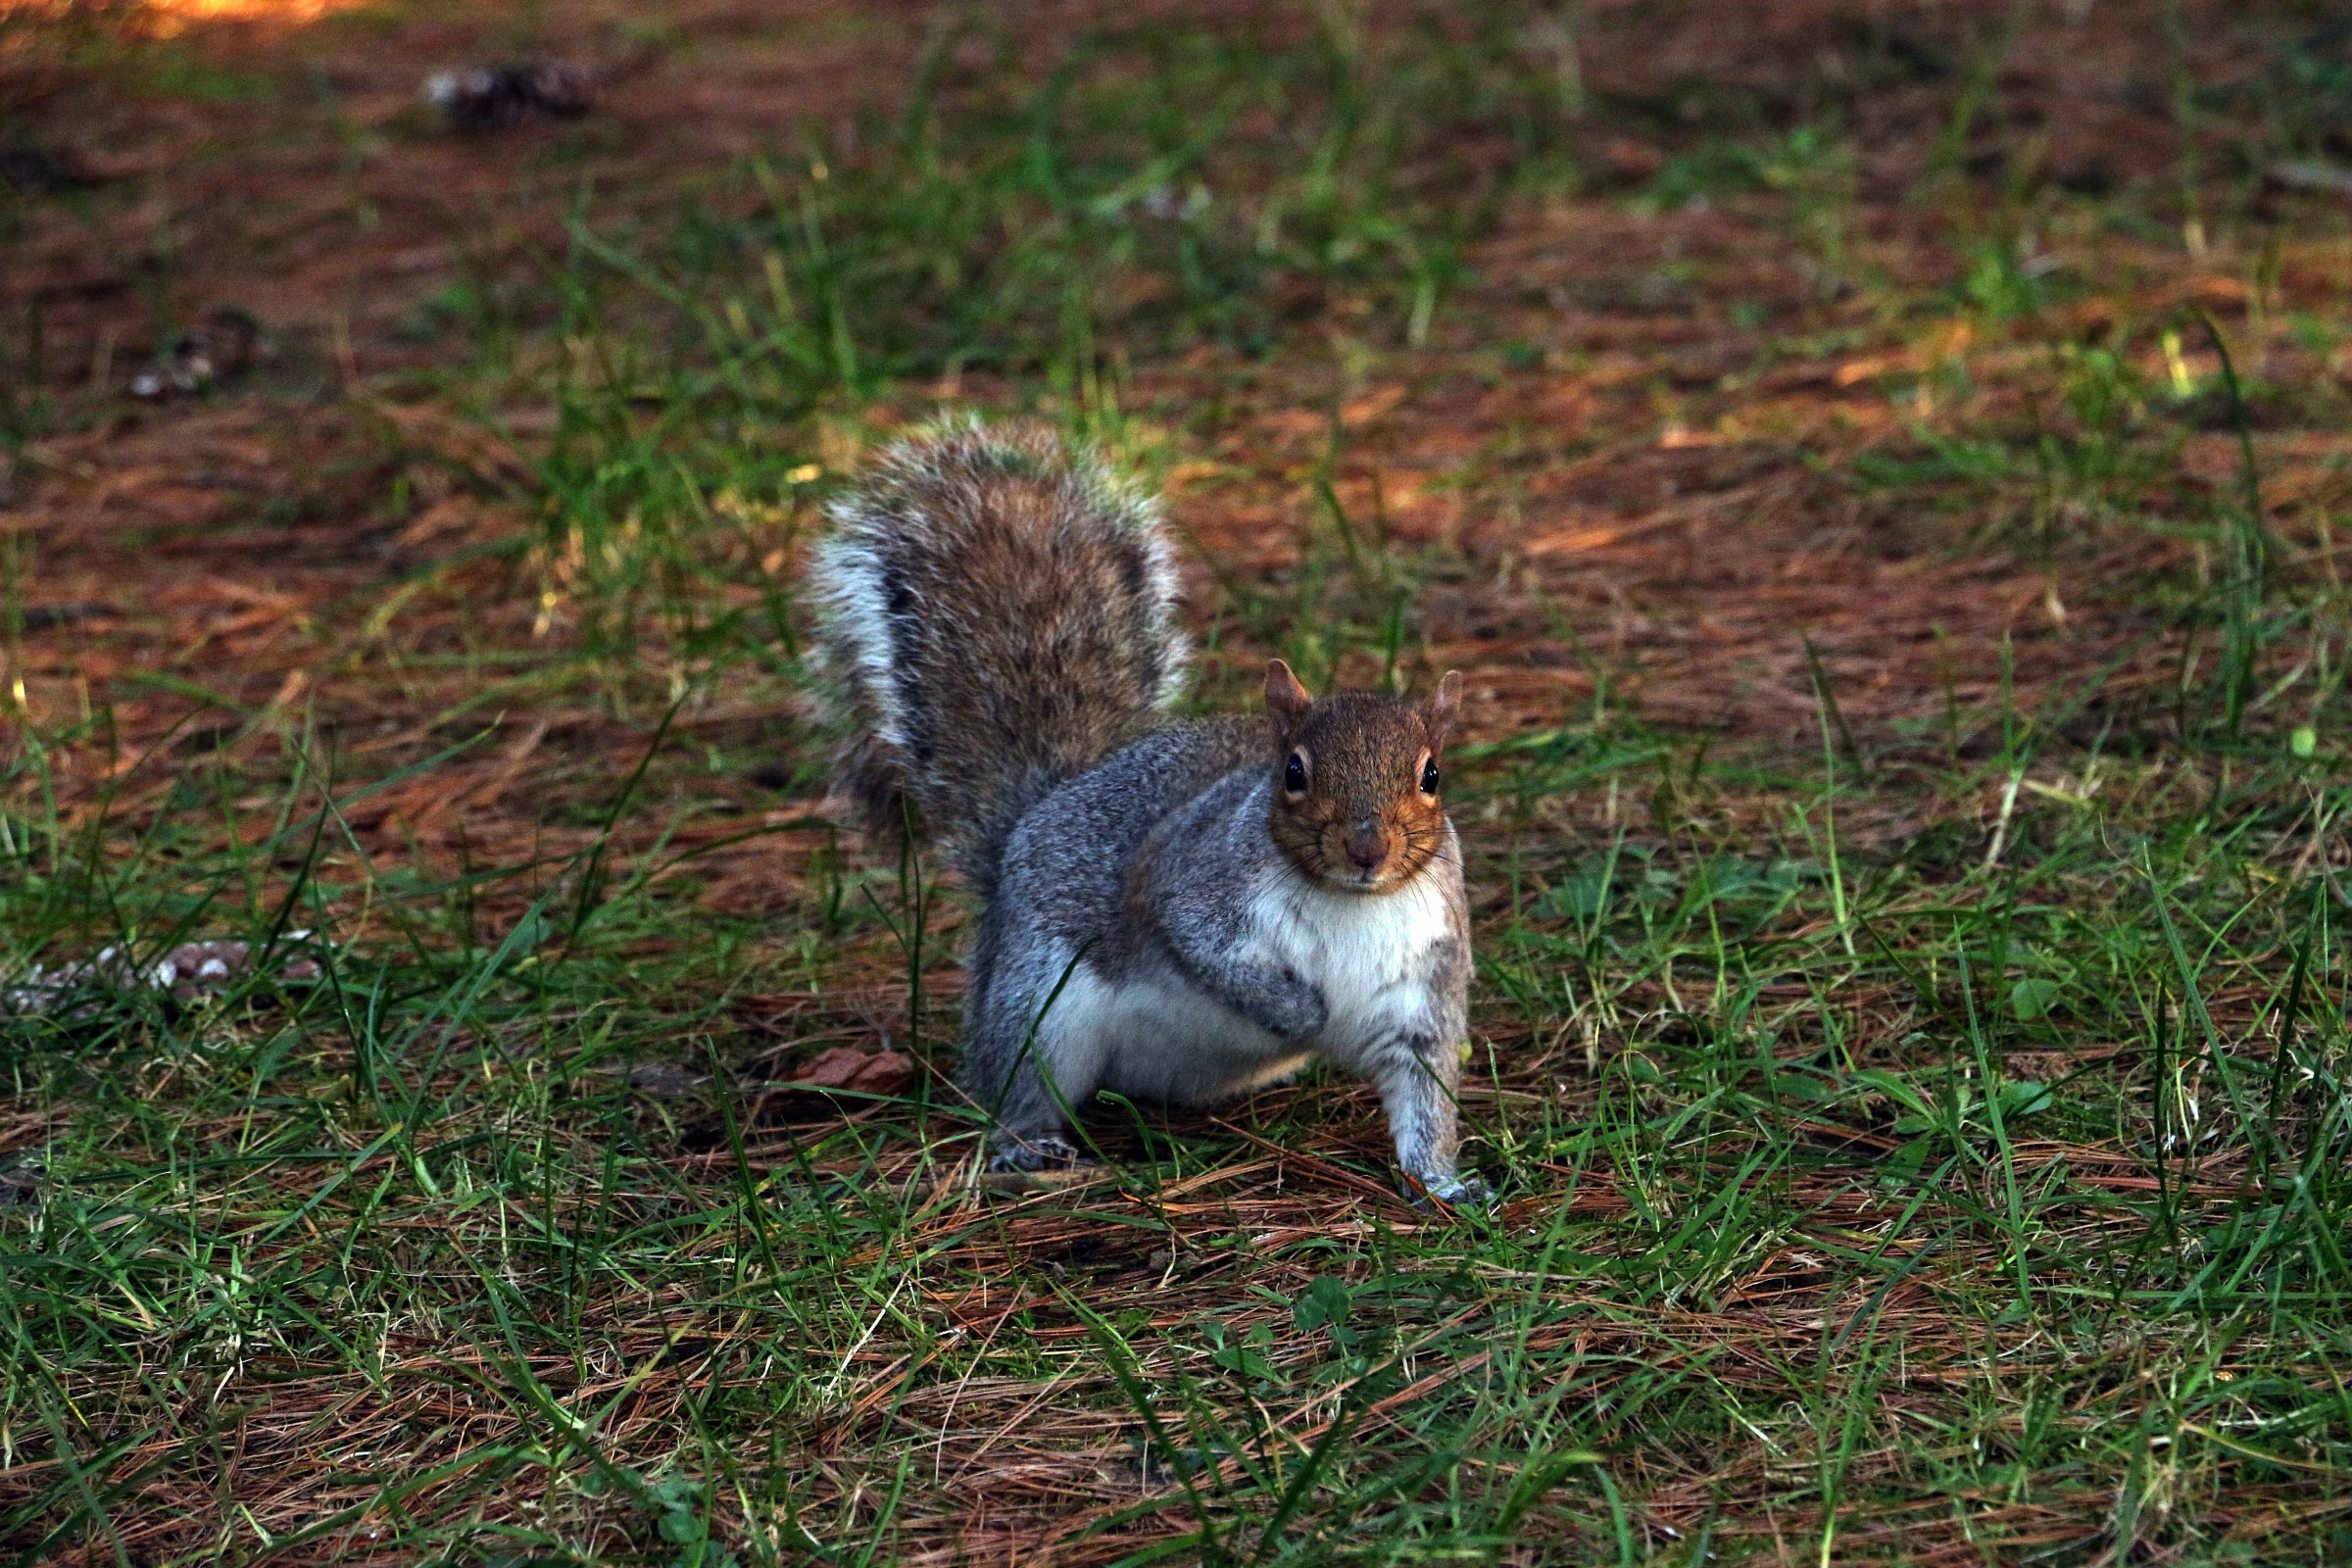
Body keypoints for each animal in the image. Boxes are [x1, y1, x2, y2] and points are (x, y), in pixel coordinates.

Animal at [809, 419, 1484, 1204]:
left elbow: (1426, 1097)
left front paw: (1444, 1185)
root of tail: (1032, 820)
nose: (1367, 849)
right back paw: (1026, 1148)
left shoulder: (1426, 984)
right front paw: (1301, 1014)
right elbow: (1203, 947)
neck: (1353, 901)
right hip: (1039, 1004)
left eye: (1432, 774)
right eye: (1293, 772)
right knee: (1017, 1086)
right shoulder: (1192, 886)